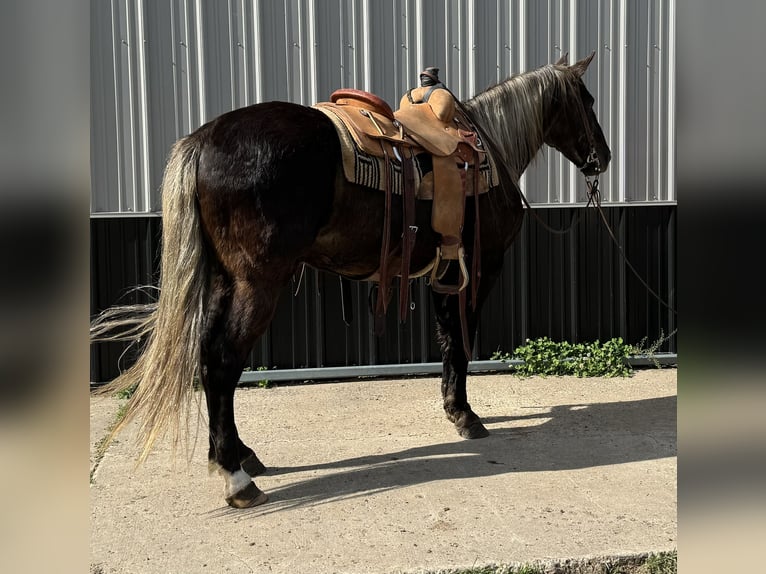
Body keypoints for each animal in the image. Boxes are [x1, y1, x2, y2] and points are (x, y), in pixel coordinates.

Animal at [91, 53, 612, 508]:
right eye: (587, 100)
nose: (602, 158)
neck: (486, 151)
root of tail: (203, 138)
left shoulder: (445, 272)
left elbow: (447, 339)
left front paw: (453, 407)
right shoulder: (480, 269)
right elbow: (461, 343)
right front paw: (465, 416)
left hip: (226, 280)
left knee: (208, 358)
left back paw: (241, 455)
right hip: (258, 283)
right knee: (223, 362)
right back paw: (236, 479)